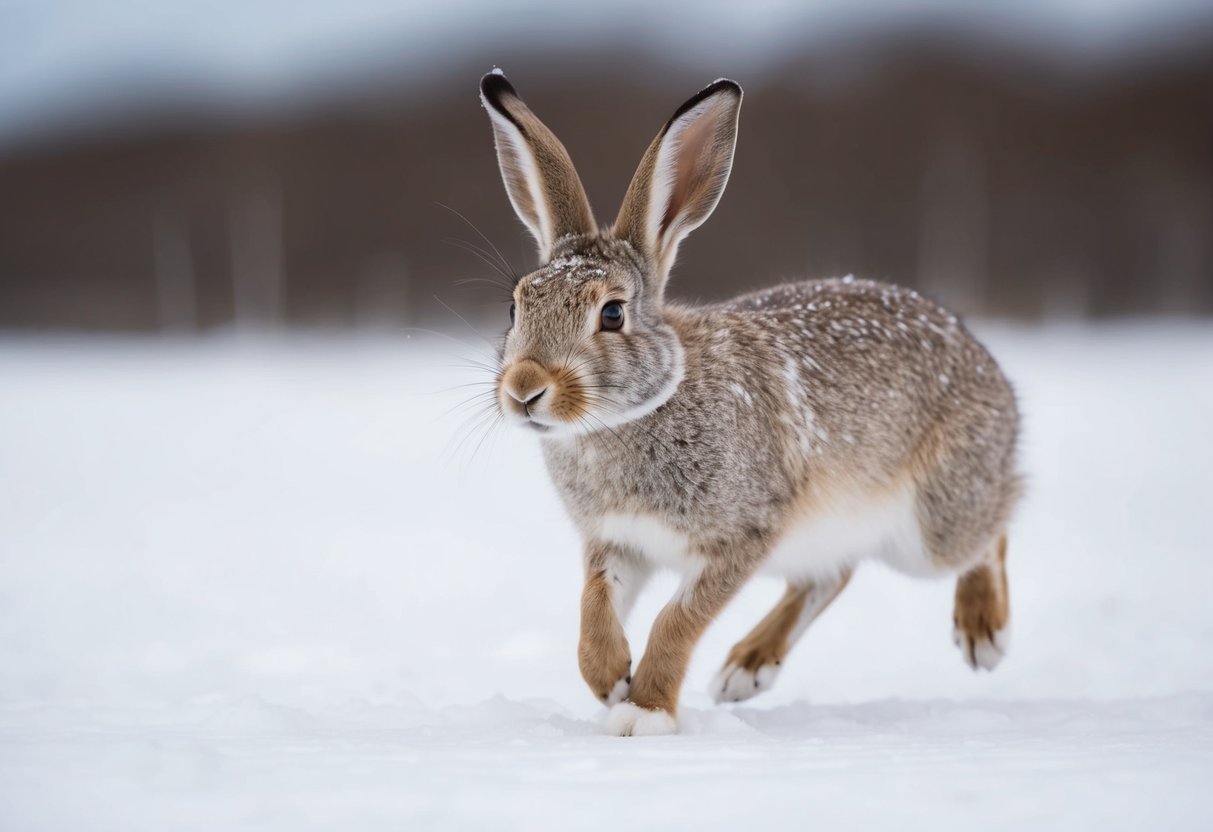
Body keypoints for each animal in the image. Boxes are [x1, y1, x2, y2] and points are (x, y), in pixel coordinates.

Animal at [478, 70, 1021, 736]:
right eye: (515, 306)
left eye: (612, 314)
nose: (524, 388)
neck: (638, 412)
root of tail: (987, 366)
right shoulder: (617, 542)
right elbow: (593, 611)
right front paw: (611, 681)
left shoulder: (742, 536)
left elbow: (676, 622)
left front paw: (644, 713)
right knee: (833, 574)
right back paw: (746, 670)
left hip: (930, 528)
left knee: (994, 526)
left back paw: (983, 632)